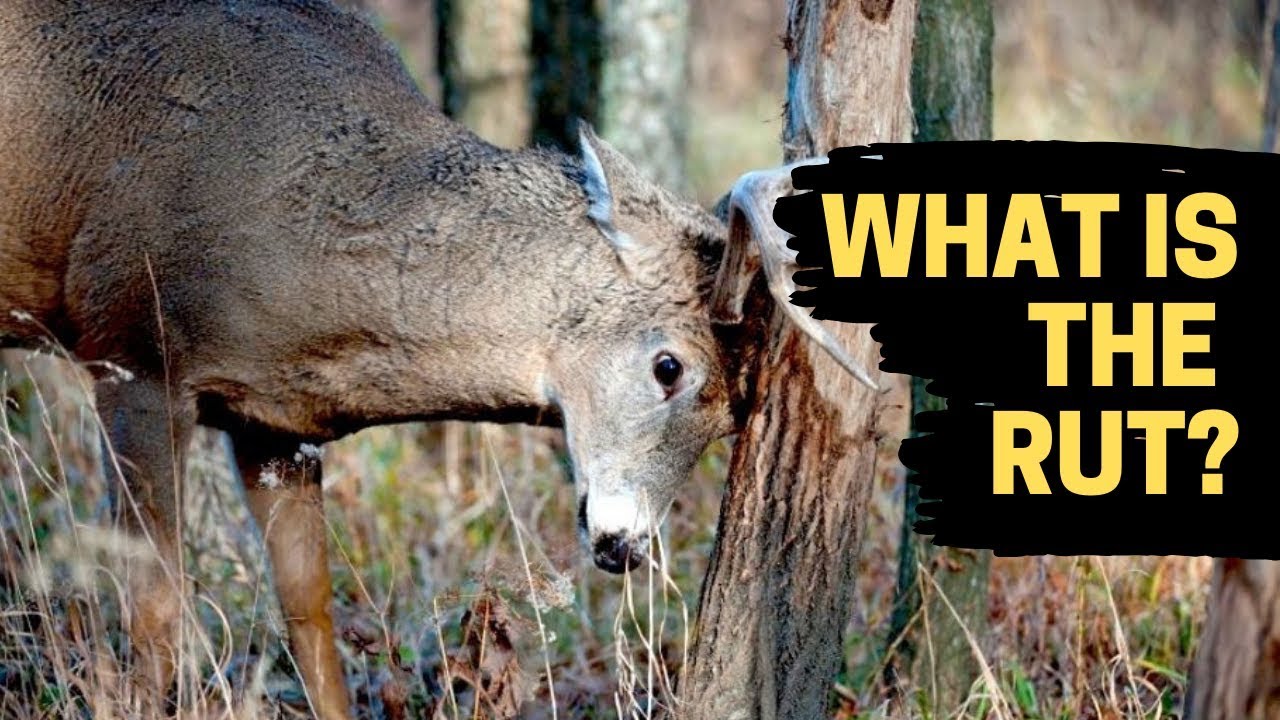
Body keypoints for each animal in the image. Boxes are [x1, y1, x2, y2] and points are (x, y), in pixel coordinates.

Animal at [0, 1, 877, 717]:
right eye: (670, 367)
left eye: (737, 412)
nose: (625, 547)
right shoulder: (133, 354)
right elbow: (150, 608)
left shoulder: (274, 422)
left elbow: (310, 616)